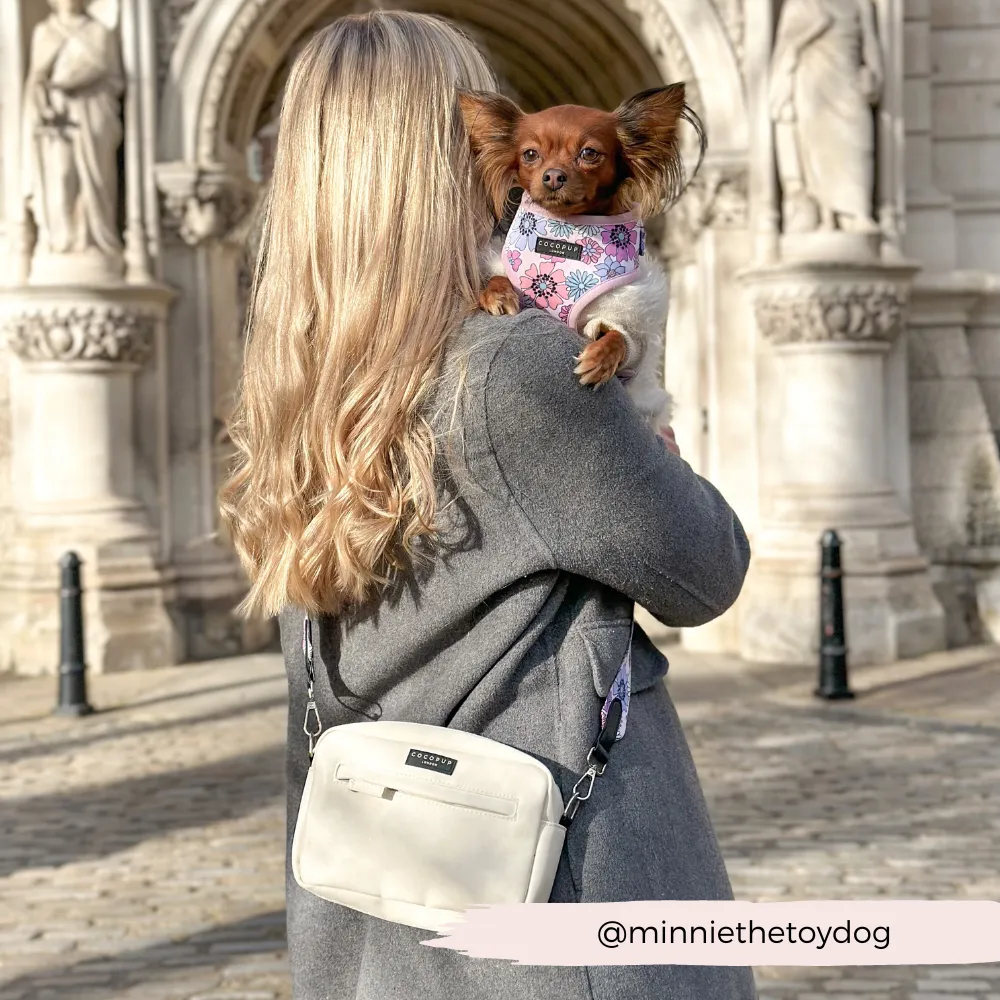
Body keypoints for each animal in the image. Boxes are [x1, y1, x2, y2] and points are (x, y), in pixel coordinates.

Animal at [458, 85, 700, 426]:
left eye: (589, 153)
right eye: (530, 154)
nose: (552, 176)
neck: (566, 232)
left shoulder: (623, 309)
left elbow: (619, 336)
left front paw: (601, 358)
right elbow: (496, 276)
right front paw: (498, 294)